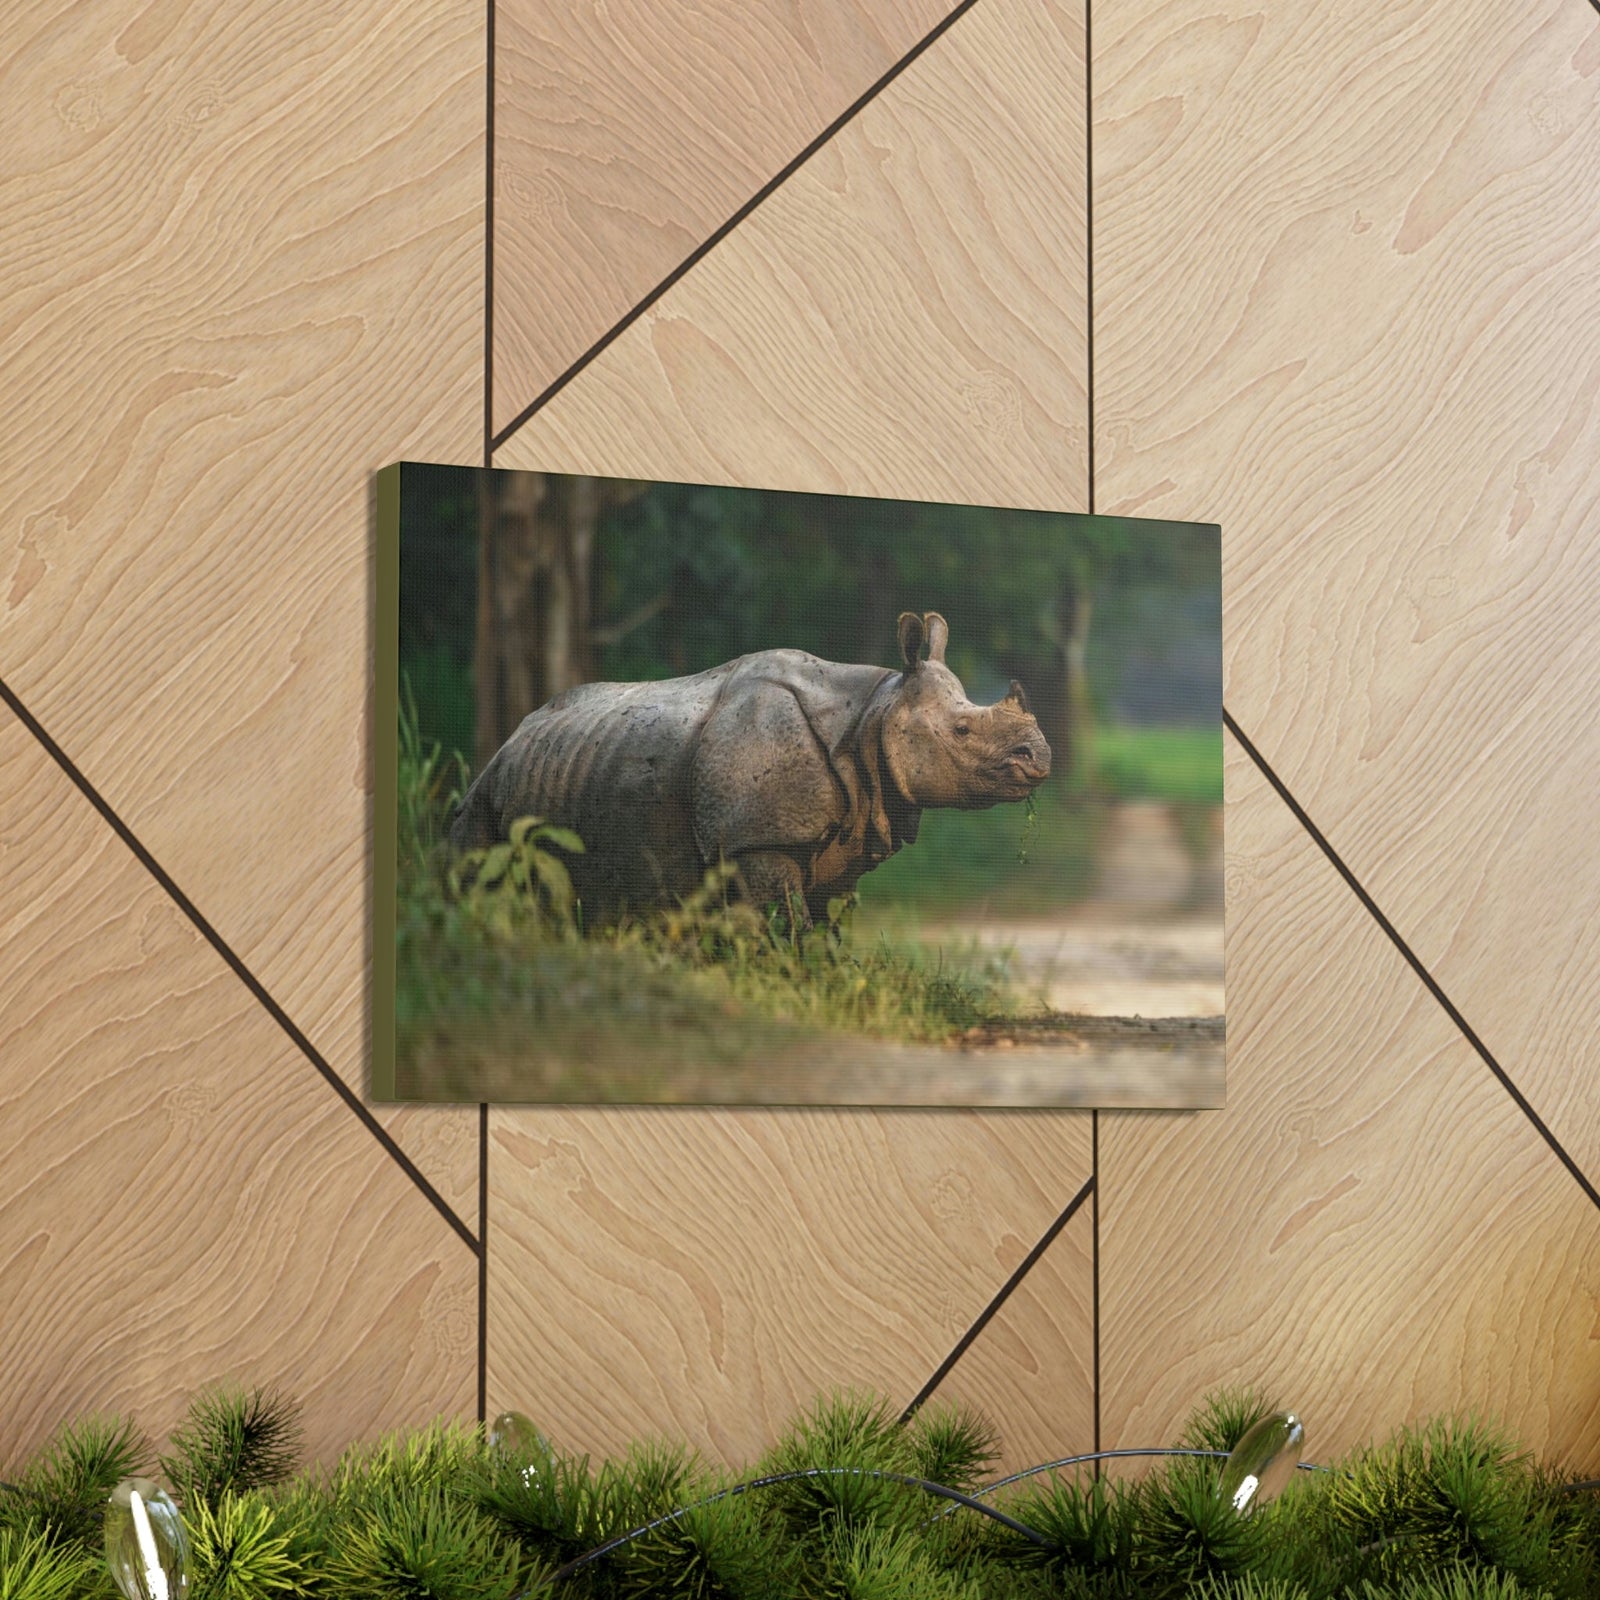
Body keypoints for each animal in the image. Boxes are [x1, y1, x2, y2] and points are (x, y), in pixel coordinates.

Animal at [449, 611, 1051, 923]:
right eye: (962, 731)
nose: (1040, 756)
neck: (875, 711)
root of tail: (509, 740)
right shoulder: (758, 840)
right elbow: (787, 926)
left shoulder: (848, 834)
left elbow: (823, 926)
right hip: (484, 794)